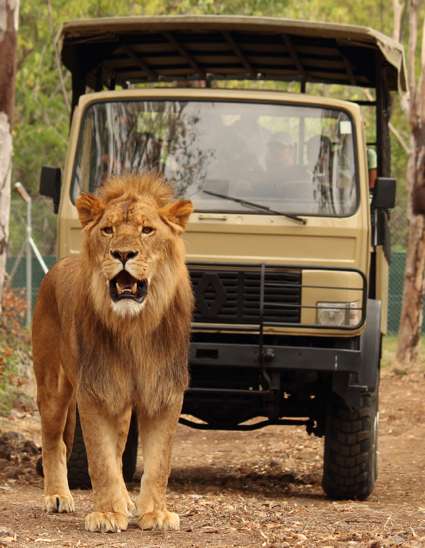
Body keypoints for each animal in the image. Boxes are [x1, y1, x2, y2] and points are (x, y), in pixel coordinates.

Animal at [31, 174, 192, 532]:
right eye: (108, 230)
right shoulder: (95, 391)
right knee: (54, 441)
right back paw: (57, 496)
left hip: (120, 407)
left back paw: (127, 502)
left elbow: (159, 462)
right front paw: (106, 514)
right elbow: (100, 461)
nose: (123, 253)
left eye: (147, 230)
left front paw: (155, 513)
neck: (134, 328)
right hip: (53, 386)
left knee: (118, 450)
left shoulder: (164, 392)